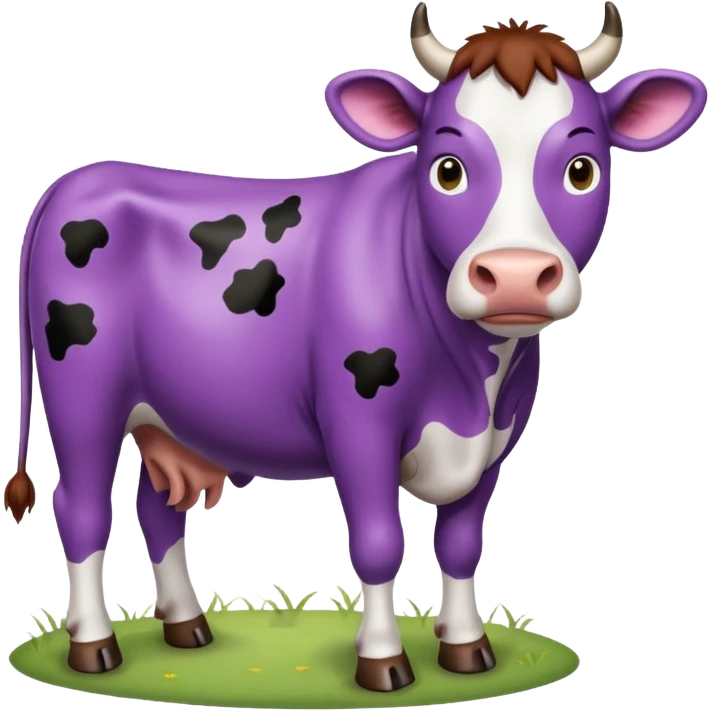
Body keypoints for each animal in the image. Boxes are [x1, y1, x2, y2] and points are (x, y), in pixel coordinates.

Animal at [6, 0, 707, 693]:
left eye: (582, 169)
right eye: (447, 169)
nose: (514, 275)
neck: (471, 382)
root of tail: (77, 180)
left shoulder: (496, 440)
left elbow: (460, 544)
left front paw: (466, 648)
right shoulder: (358, 425)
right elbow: (377, 544)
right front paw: (384, 663)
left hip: (176, 420)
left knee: (157, 509)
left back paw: (187, 626)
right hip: (82, 401)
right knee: (81, 509)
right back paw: (93, 646)